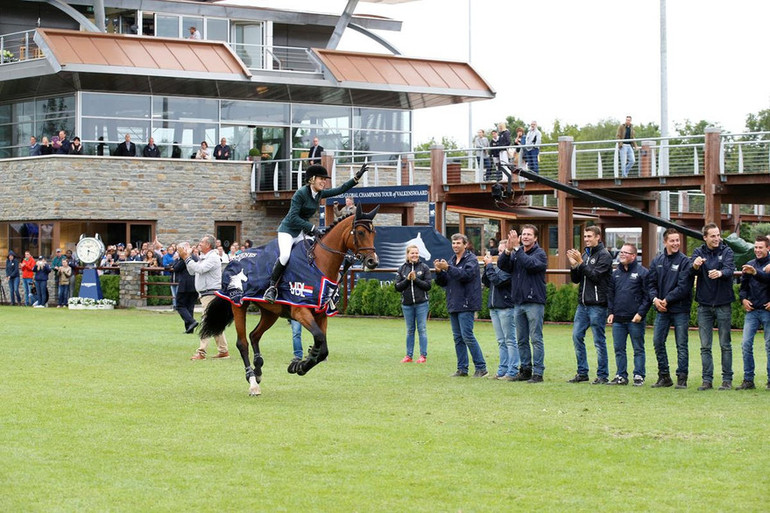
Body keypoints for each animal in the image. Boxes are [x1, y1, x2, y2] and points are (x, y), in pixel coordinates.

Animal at [198, 204, 378, 396]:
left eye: (374, 233)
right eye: (360, 232)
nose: (372, 262)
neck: (319, 264)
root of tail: (233, 260)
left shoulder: (321, 314)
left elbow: (323, 348)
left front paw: (299, 365)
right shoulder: (301, 311)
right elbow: (319, 338)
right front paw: (300, 364)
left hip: (270, 312)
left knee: (254, 335)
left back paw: (258, 370)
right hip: (238, 304)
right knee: (243, 343)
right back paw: (252, 382)